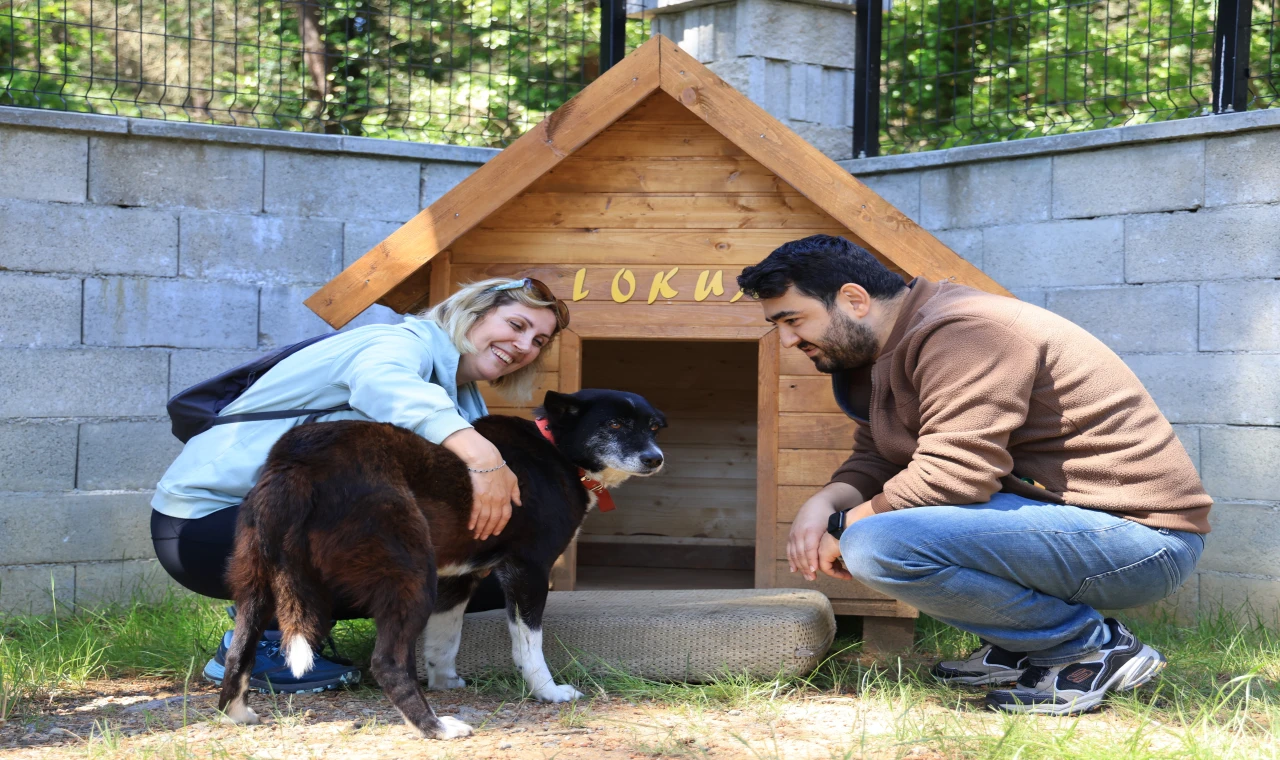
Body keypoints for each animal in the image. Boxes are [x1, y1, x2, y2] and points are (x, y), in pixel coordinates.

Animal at [217, 386, 670, 736]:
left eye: (651, 427)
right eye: (614, 425)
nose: (656, 459)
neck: (555, 448)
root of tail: (300, 460)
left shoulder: (459, 579)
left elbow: (443, 639)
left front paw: (444, 681)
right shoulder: (527, 570)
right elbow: (529, 646)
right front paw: (549, 692)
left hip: (256, 582)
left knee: (240, 653)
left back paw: (238, 715)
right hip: (413, 575)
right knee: (388, 663)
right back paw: (435, 728)